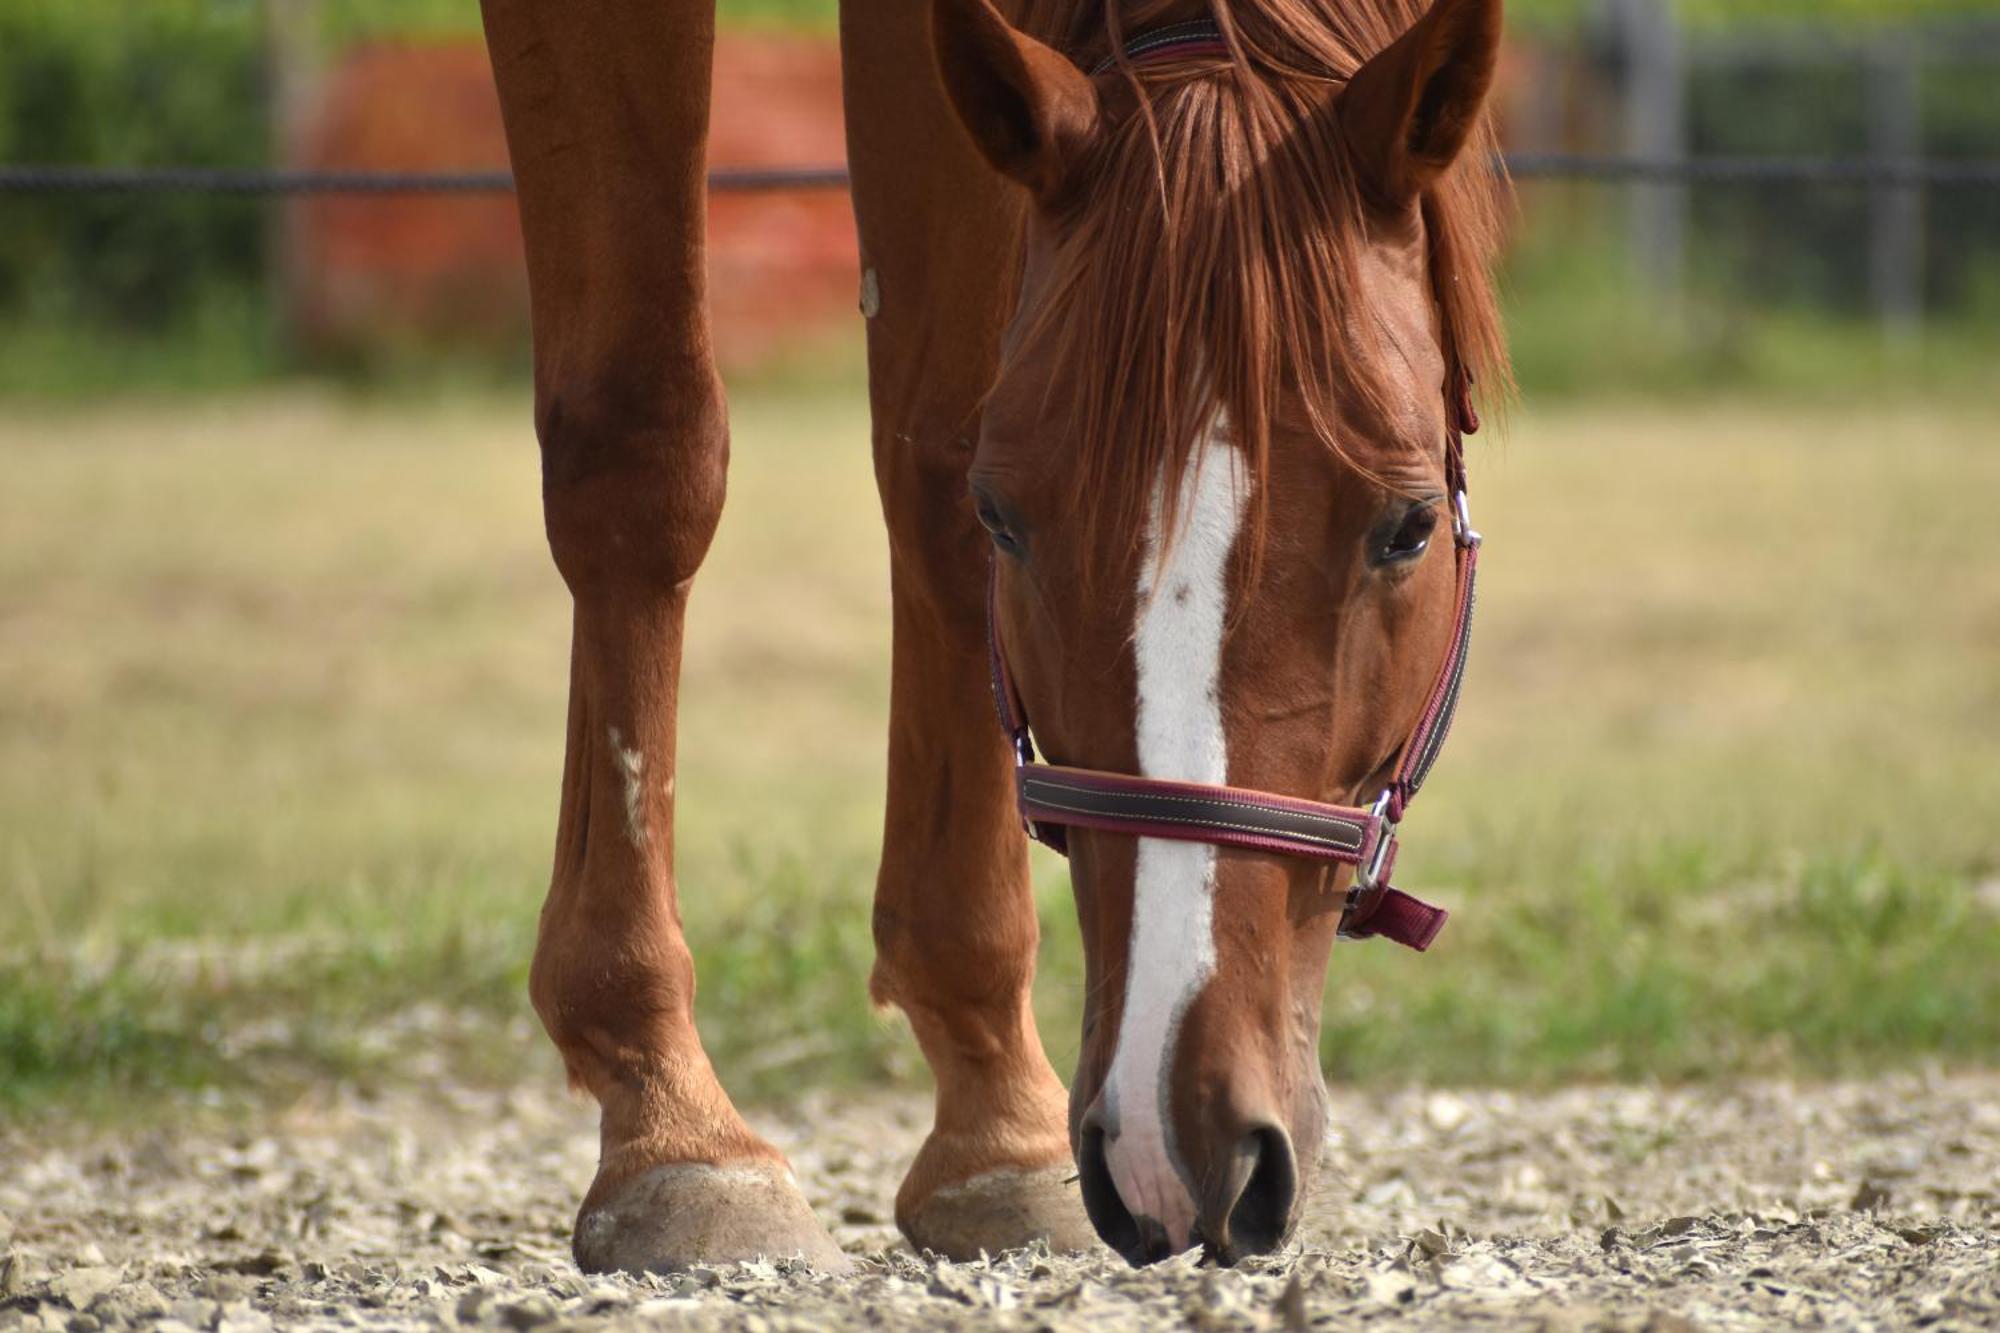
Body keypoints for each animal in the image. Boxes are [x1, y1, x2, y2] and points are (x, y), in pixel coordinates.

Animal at [476, 0, 1504, 1264]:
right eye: (1008, 518)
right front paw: (670, 1123)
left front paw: (993, 1126)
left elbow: (929, 456)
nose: (1176, 1133)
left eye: (1408, 526)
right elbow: (639, 440)